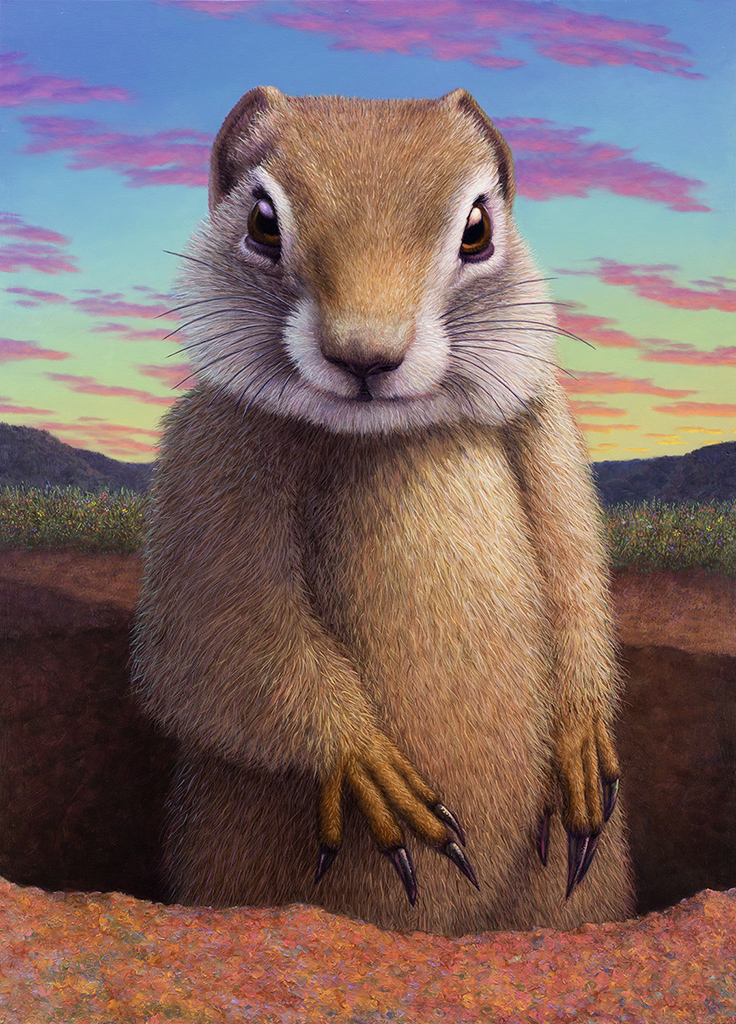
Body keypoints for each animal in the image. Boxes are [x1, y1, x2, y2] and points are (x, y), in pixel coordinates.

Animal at [132, 86, 634, 936]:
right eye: (262, 222)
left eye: (477, 228)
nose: (366, 356)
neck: (389, 434)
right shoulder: (210, 457)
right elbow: (208, 642)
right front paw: (373, 772)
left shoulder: (548, 436)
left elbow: (575, 579)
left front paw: (580, 748)